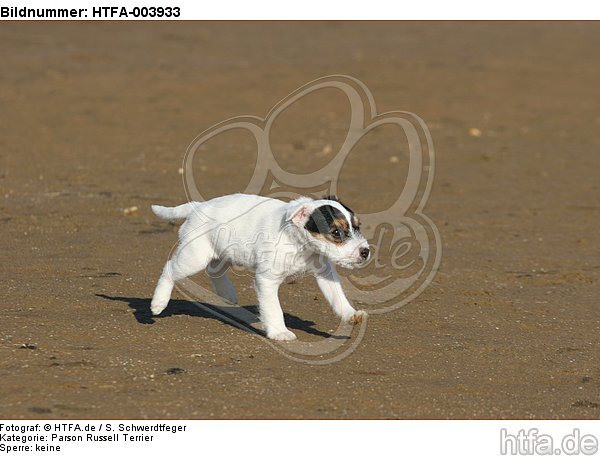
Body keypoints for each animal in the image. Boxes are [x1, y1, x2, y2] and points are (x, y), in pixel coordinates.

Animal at [150, 194, 370, 340]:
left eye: (358, 226)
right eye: (336, 232)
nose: (365, 251)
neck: (300, 244)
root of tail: (198, 207)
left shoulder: (325, 273)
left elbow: (338, 297)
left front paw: (351, 315)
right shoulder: (267, 280)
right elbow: (273, 308)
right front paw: (279, 332)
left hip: (226, 252)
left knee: (214, 270)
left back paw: (227, 294)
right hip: (195, 256)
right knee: (169, 268)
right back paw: (158, 303)